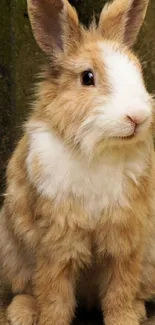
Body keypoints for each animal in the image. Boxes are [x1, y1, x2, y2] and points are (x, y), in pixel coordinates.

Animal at [0, 0, 155, 322]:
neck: (99, 149)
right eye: (87, 77)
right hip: (10, 253)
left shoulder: (125, 235)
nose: (137, 117)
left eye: (137, 71)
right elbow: (54, 291)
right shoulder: (57, 236)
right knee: (26, 289)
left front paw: (124, 319)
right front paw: (50, 321)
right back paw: (22, 313)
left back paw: (137, 310)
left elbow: (121, 286)